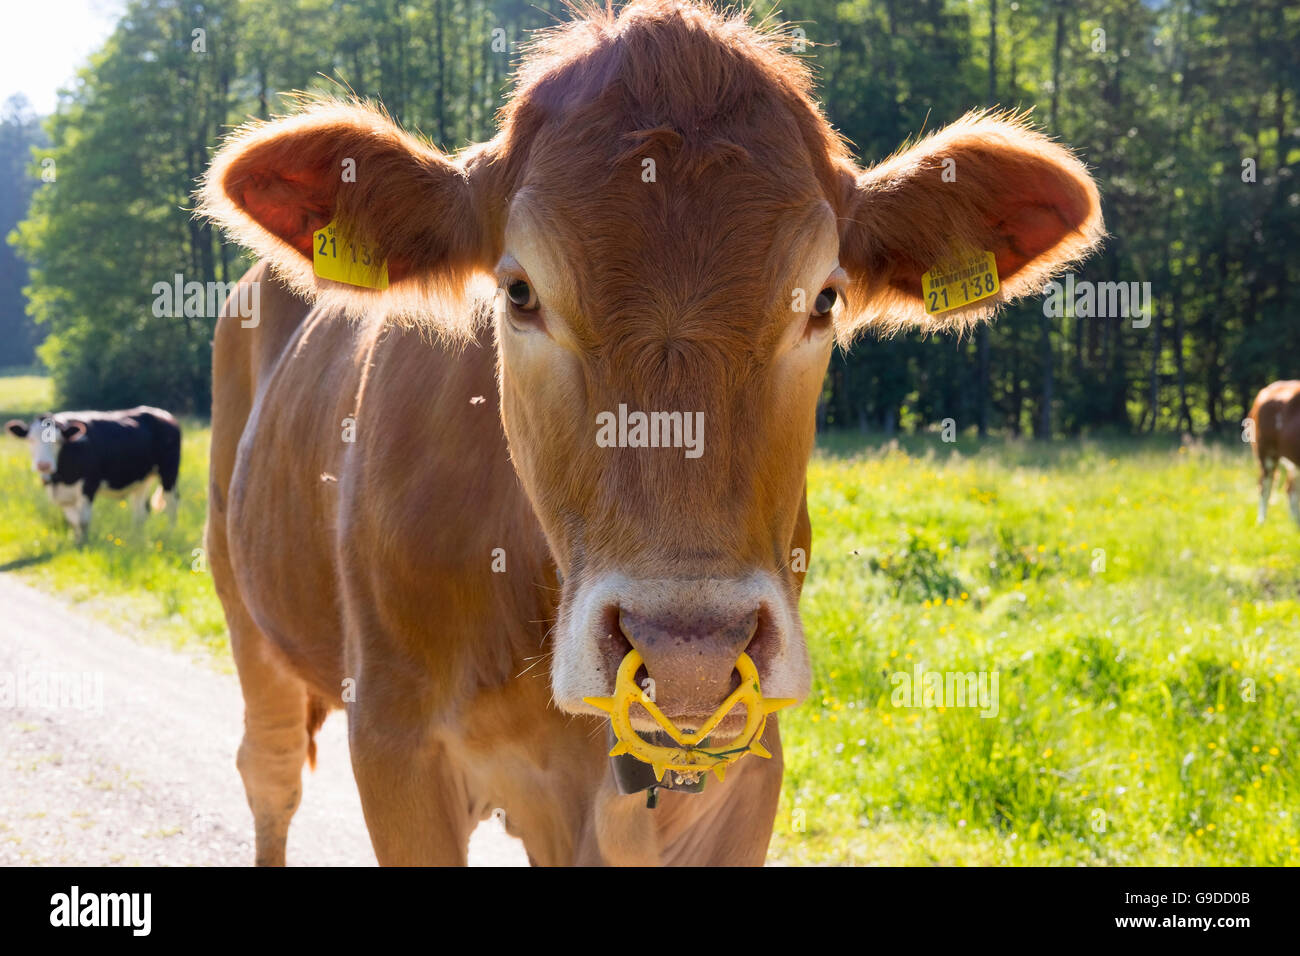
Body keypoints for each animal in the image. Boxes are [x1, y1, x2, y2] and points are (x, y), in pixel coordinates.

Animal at [5, 405, 180, 546]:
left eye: (58, 441)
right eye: (30, 439)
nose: (43, 465)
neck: (60, 477)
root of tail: (164, 414)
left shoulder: (89, 484)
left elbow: (83, 520)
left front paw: (85, 544)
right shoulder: (62, 496)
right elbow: (73, 521)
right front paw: (76, 542)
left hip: (169, 472)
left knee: (171, 505)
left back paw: (170, 535)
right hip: (141, 479)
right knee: (141, 512)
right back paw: (136, 539)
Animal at [197, 0, 1102, 868]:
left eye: (823, 299)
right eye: (519, 292)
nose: (686, 655)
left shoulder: (741, 779)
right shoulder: (396, 742)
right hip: (243, 604)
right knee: (268, 774)